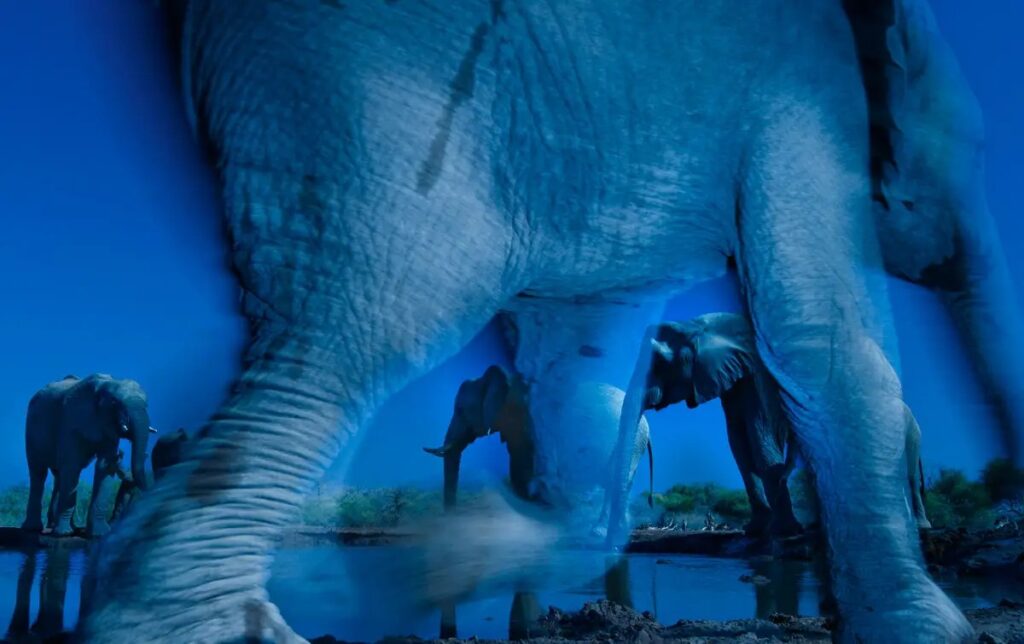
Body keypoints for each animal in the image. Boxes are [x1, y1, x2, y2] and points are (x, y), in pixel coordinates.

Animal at [20, 374, 153, 536]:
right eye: (115, 403)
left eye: (147, 405)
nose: (120, 455)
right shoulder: (70, 421)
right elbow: (72, 466)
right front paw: (64, 534)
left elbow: (103, 466)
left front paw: (99, 534)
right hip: (32, 430)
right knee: (38, 472)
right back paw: (35, 528)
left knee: (59, 476)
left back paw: (60, 527)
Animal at [81, 2, 1024, 638]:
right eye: (971, 154)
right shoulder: (807, 95)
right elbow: (822, 340)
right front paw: (932, 633)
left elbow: (581, 382)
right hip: (365, 89)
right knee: (369, 321)